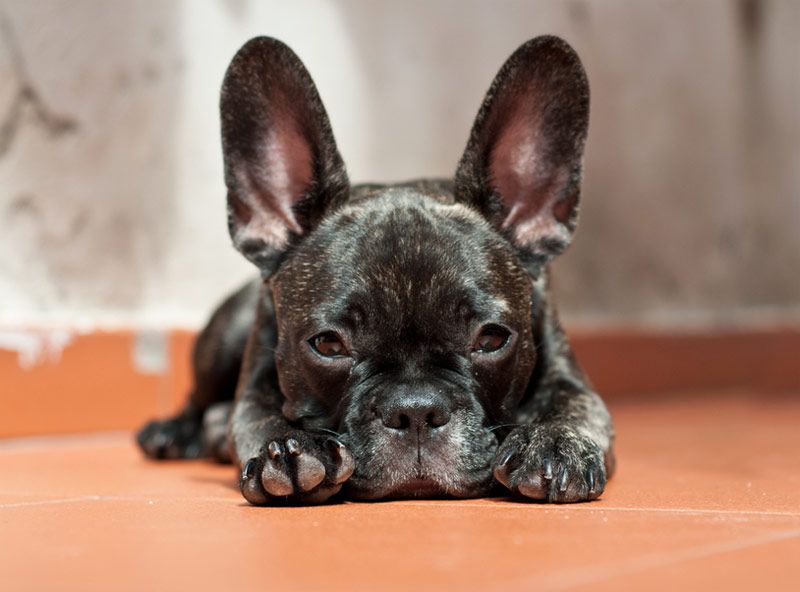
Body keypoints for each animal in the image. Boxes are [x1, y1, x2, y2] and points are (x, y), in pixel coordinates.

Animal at [138, 34, 616, 504]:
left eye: (492, 339)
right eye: (328, 345)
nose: (416, 410)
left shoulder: (568, 372)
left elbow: (579, 406)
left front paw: (555, 441)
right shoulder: (254, 385)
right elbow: (258, 418)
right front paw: (289, 451)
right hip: (226, 335)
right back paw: (180, 430)